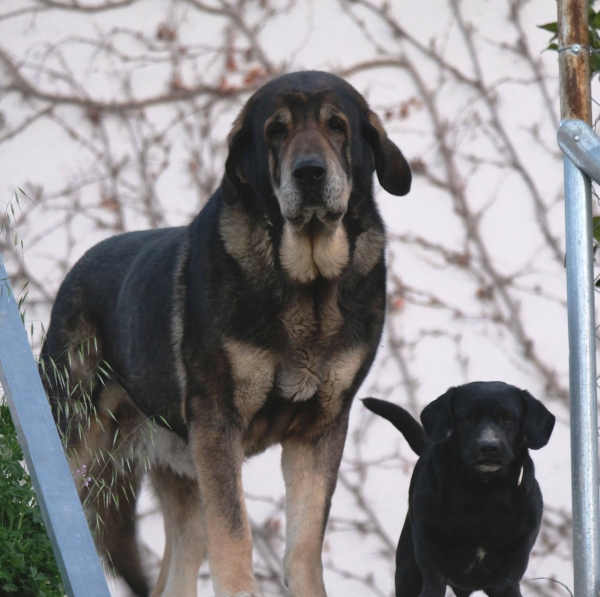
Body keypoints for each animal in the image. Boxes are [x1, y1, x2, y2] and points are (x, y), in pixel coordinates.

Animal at [39, 73, 410, 596]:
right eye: (276, 130)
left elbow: (304, 545)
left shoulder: (319, 430)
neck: (307, 284)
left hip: (184, 481)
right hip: (80, 440)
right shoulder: (219, 424)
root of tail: (75, 272)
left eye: (336, 126)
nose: (309, 173)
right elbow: (234, 536)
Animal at [360, 382, 552, 596]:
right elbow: (434, 580)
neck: (483, 491)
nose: (489, 447)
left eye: (508, 418)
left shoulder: (521, 544)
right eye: (466, 418)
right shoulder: (426, 538)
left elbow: (508, 581)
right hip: (407, 569)